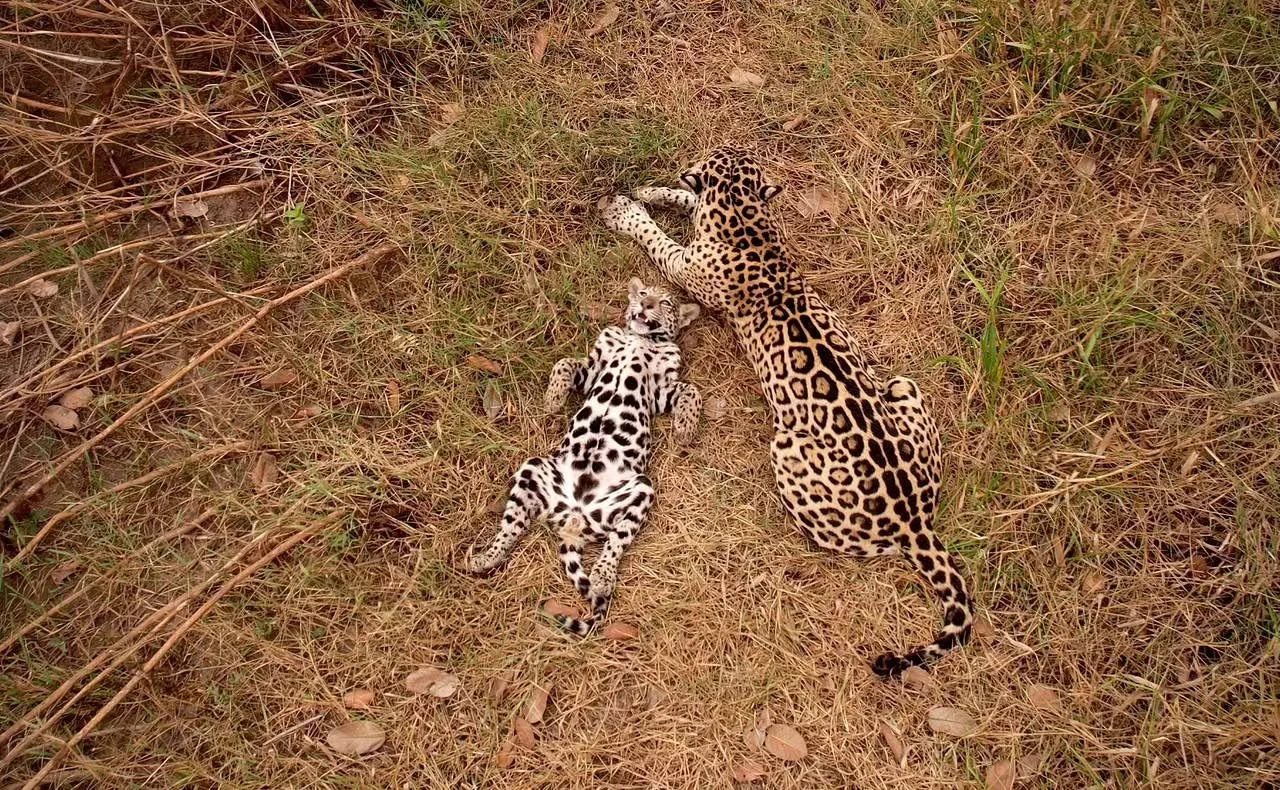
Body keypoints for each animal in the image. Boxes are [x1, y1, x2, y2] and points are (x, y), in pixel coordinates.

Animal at [463, 278, 702, 634]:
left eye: (666, 303)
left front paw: (685, 429)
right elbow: (564, 363)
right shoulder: (593, 368)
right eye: (644, 294)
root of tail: (573, 522)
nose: (646, 305)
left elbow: (692, 391)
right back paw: (485, 558)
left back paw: (602, 578)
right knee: (511, 528)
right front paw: (553, 399)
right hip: (534, 469)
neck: (639, 338)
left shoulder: (661, 388)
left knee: (615, 543)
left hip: (640, 489)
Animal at [598, 147, 973, 677]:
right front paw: (653, 191)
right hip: (904, 385)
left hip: (786, 453)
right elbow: (689, 200)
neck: (746, 221)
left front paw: (630, 212)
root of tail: (913, 521)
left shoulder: (684, 267)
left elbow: (659, 239)